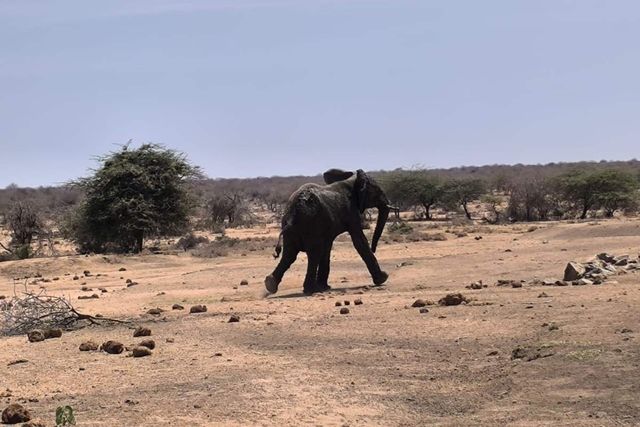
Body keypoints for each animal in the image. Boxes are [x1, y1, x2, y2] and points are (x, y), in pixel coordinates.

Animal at [264, 168, 395, 295]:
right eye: (378, 191)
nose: (374, 249)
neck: (352, 180)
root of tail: (294, 212)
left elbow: (327, 248)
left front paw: (325, 287)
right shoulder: (351, 212)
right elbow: (359, 241)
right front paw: (383, 278)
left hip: (292, 227)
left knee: (290, 254)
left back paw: (270, 284)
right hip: (311, 224)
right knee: (314, 254)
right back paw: (311, 289)